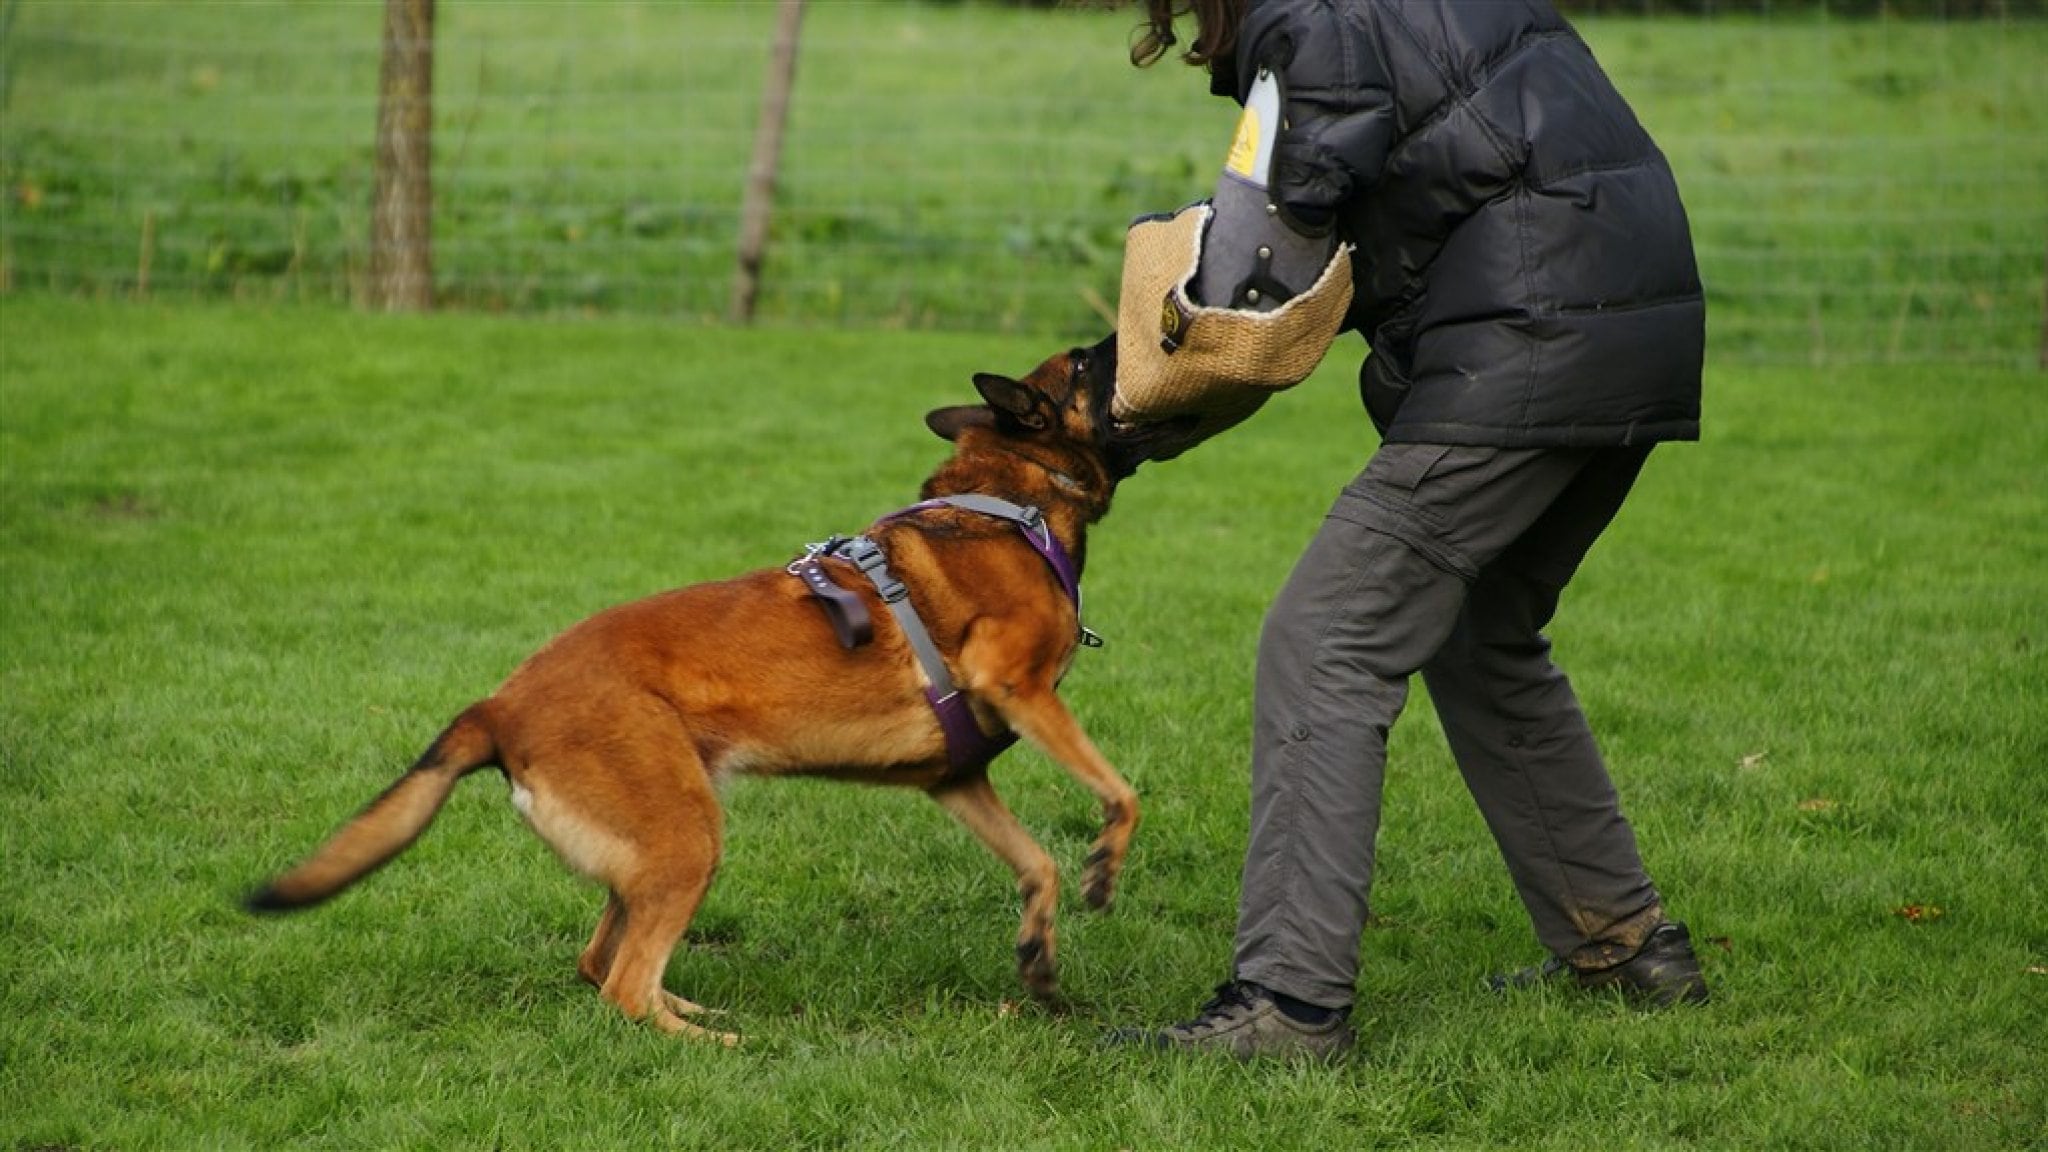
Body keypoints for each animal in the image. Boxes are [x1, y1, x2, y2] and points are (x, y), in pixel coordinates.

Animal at [249, 332, 1146, 1041]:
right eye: (1084, 361)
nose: (1122, 329)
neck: (1009, 499)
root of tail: (497, 705)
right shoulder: (1019, 689)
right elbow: (1122, 793)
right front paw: (1106, 866)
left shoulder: (955, 778)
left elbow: (1038, 863)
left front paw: (1039, 952)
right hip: (686, 840)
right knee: (622, 984)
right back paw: (713, 1042)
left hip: (652, 849)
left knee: (600, 964)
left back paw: (689, 1011)